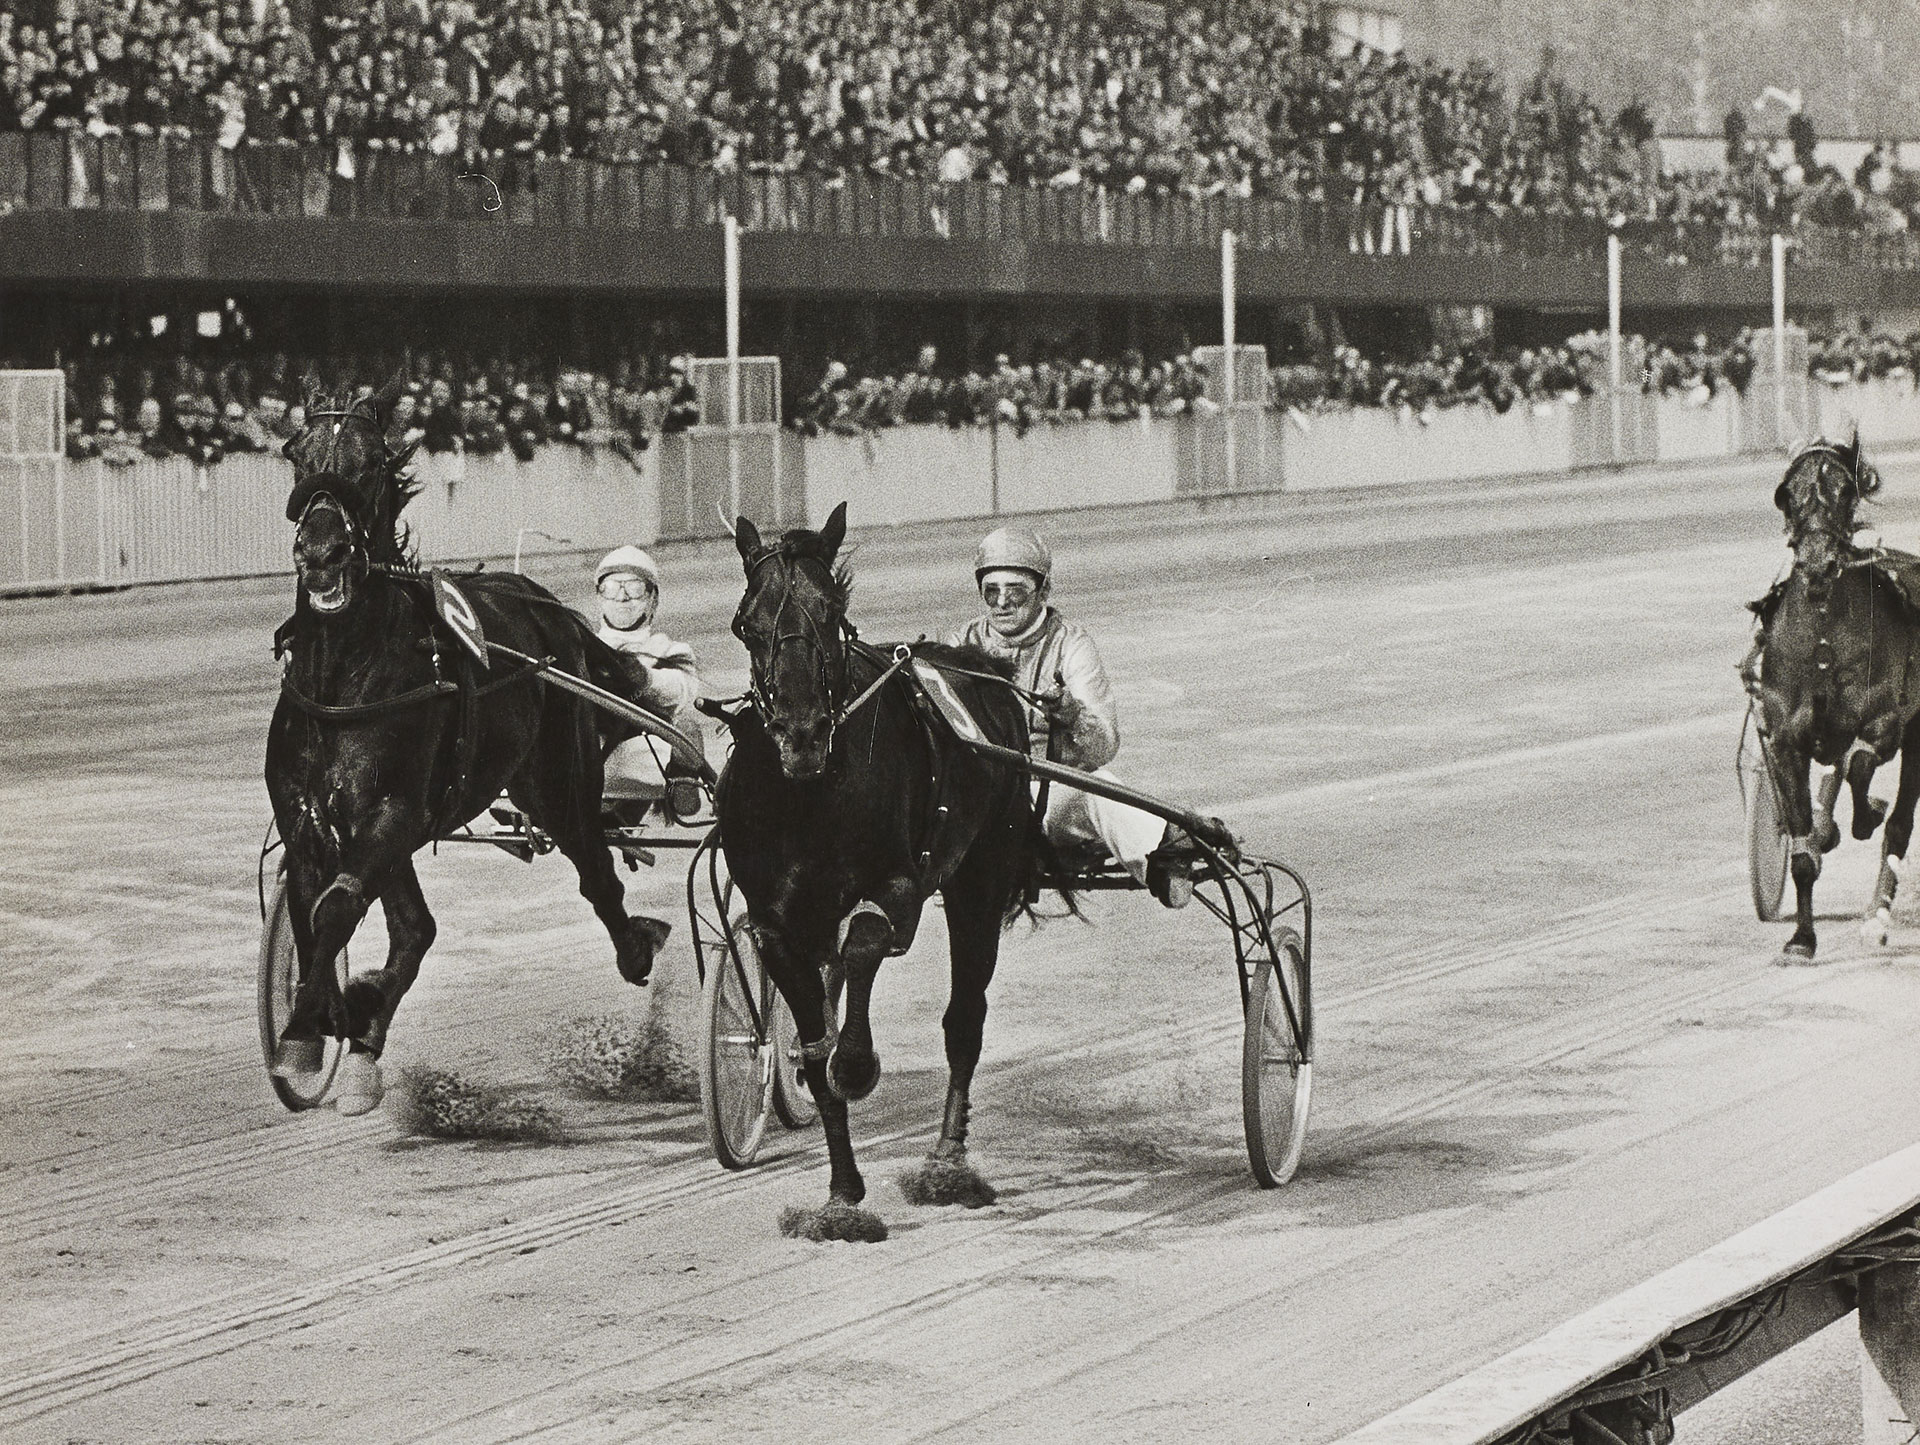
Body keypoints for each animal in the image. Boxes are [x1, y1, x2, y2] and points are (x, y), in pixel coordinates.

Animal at [263, 378, 668, 1113]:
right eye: (297, 453)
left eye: (371, 460)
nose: (322, 551)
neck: (347, 677)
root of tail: (549, 607)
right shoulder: (308, 818)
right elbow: (314, 914)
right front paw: (321, 1024)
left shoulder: (392, 812)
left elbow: (336, 906)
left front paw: (316, 1019)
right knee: (415, 928)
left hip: (559, 782)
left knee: (597, 873)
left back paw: (637, 947)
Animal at [718, 502, 1059, 1228]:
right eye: (747, 625)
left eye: (830, 612)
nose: (802, 734)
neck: (807, 796)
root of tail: (979, 665)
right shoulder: (774, 925)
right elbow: (812, 1042)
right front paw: (842, 1195)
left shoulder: (901, 882)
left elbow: (867, 945)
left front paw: (857, 1064)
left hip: (980, 877)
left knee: (964, 1018)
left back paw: (948, 1163)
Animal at [1751, 433, 1920, 963]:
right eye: (1788, 493)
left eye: (1846, 490)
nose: (1819, 564)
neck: (1824, 639)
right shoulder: (1786, 740)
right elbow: (1803, 849)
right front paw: (1801, 939)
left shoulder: (1886, 719)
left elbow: (1863, 765)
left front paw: (1865, 815)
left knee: (1899, 822)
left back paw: (1877, 916)